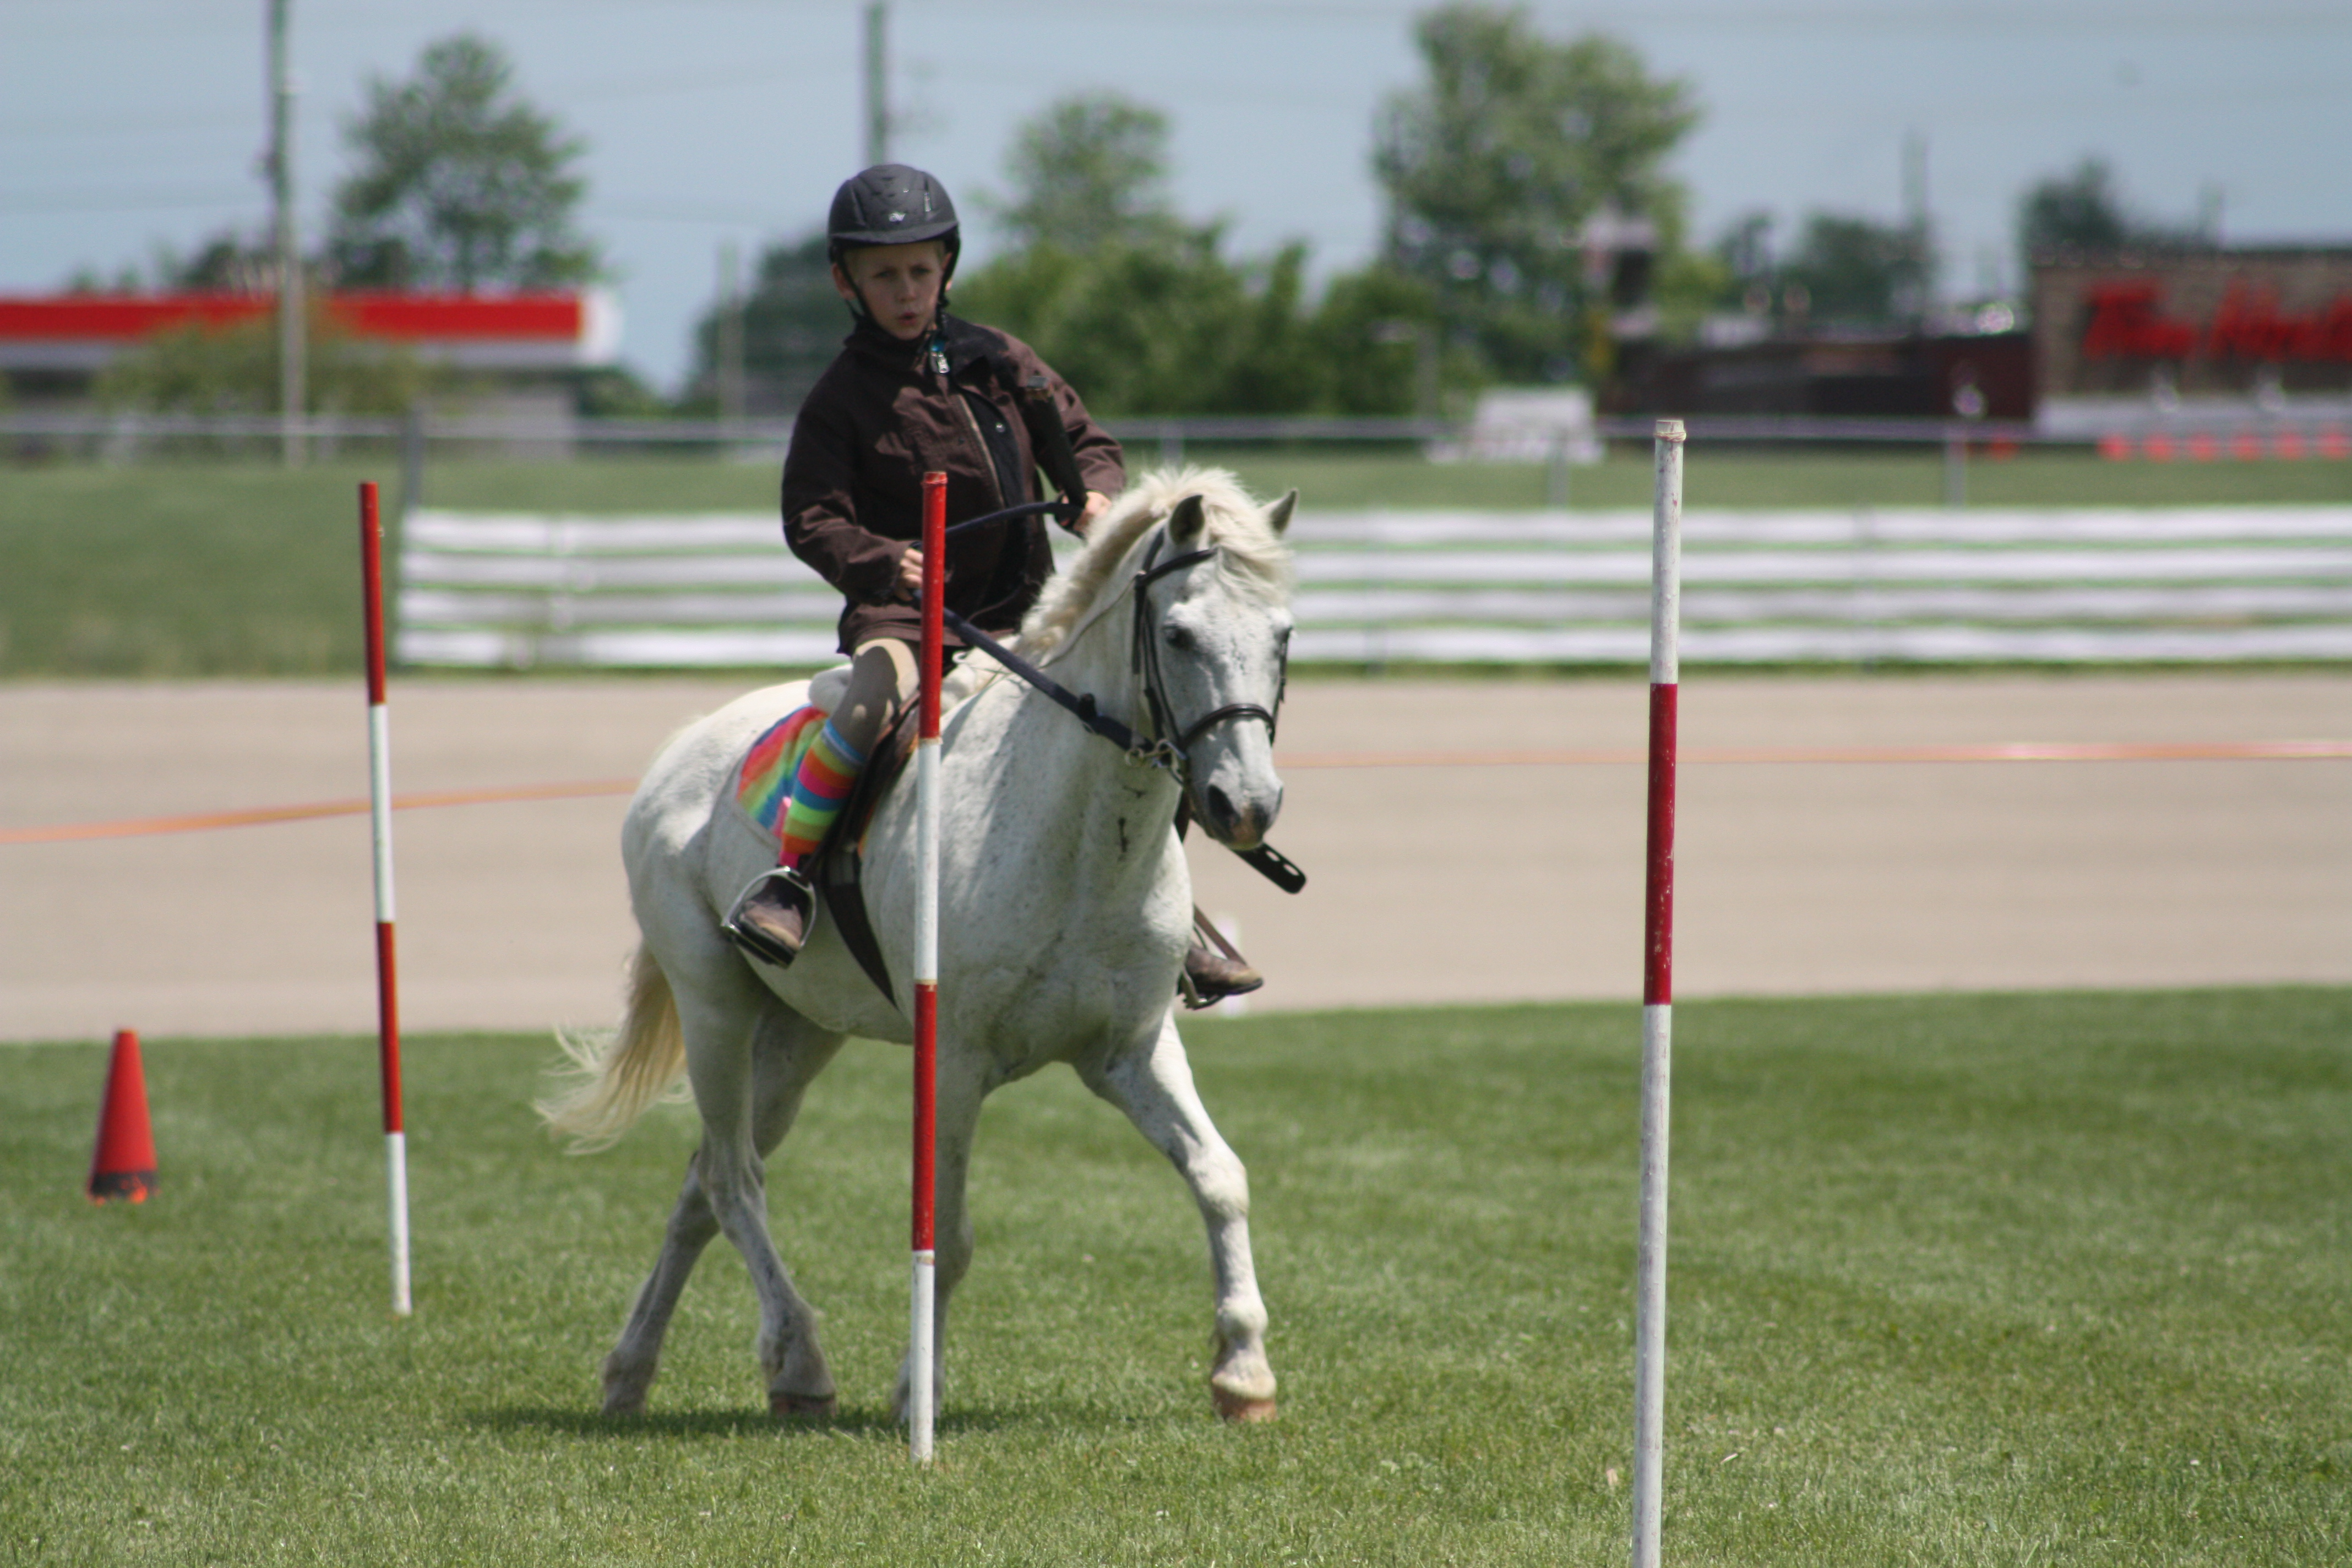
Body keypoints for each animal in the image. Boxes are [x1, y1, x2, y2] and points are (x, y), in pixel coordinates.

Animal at [540, 467, 1298, 1426]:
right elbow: (952, 1233)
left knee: (700, 1186)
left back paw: (631, 1371)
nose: (1247, 805)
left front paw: (1244, 1373)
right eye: (1178, 633)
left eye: (1283, 635)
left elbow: (1220, 1177)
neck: (1081, 838)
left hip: (795, 1038)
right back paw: (798, 1359)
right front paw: (916, 1391)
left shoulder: (1132, 1050)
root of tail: (682, 749)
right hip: (715, 1009)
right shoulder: (956, 1064)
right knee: (732, 1178)